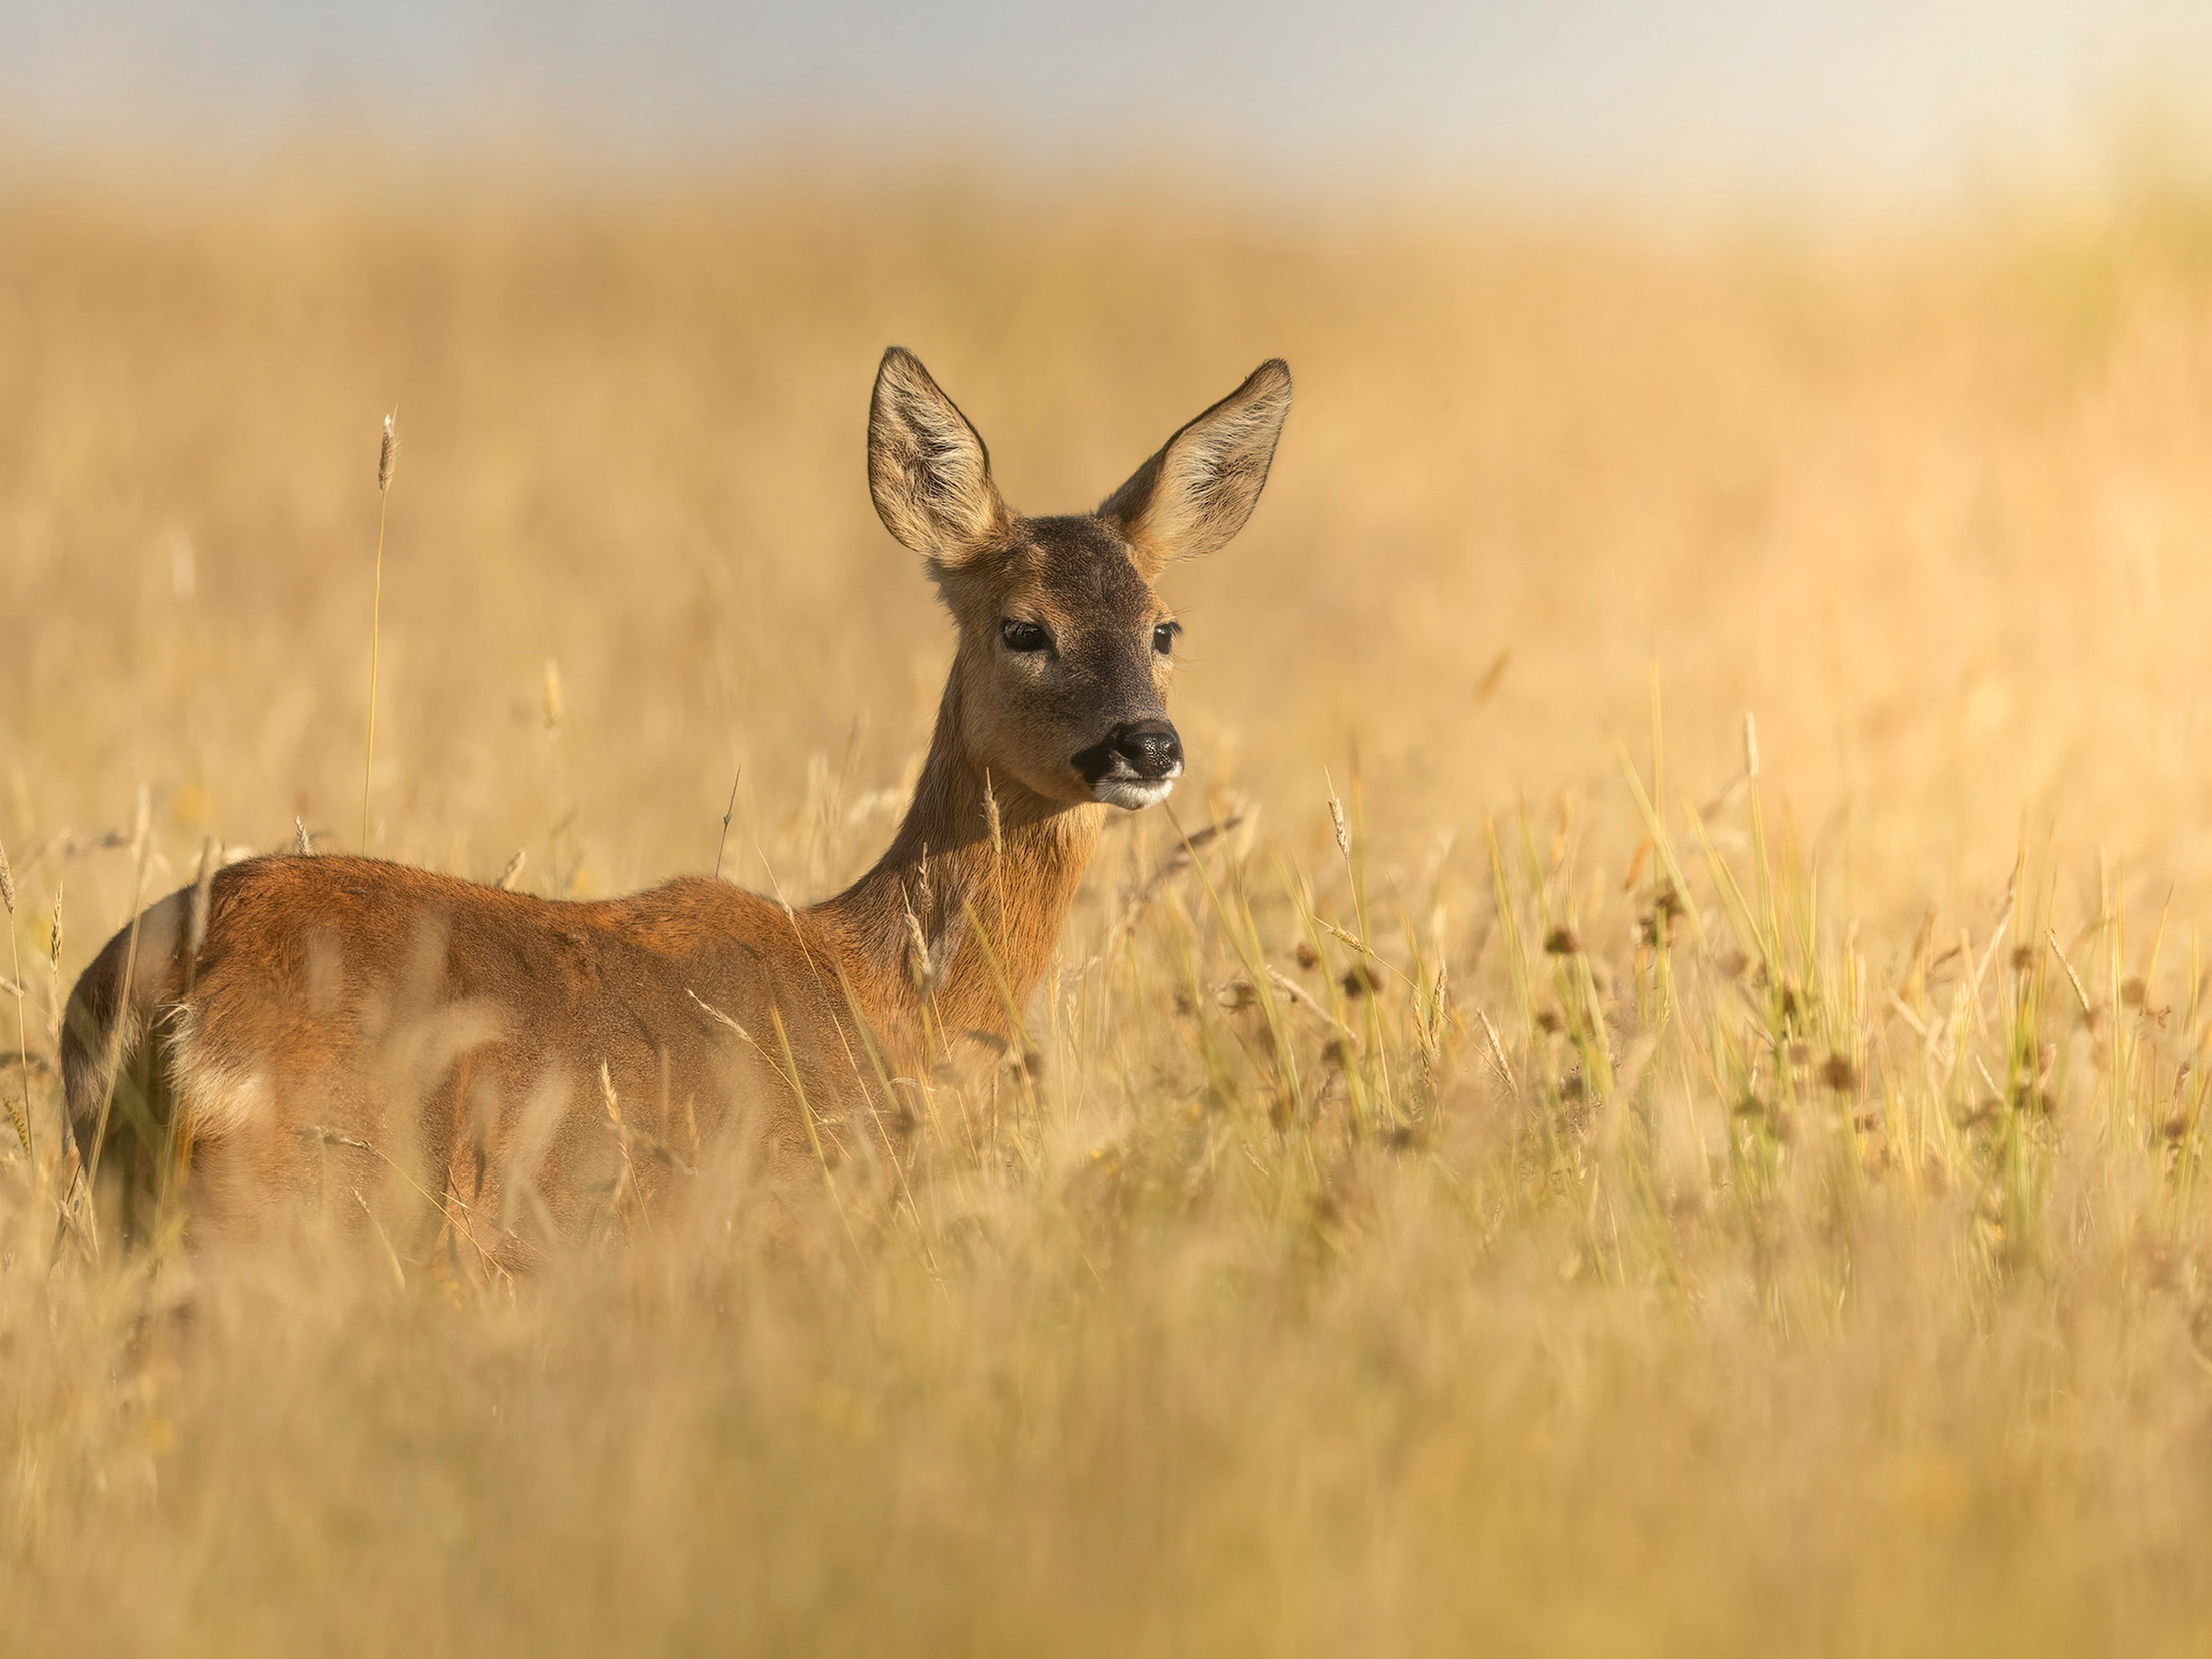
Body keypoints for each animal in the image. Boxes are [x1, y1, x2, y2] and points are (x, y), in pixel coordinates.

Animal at [60, 348, 1293, 1267]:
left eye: (1163, 626)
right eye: (1023, 627)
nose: (1147, 743)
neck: (890, 1001)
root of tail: (152, 998)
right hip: (291, 1211)